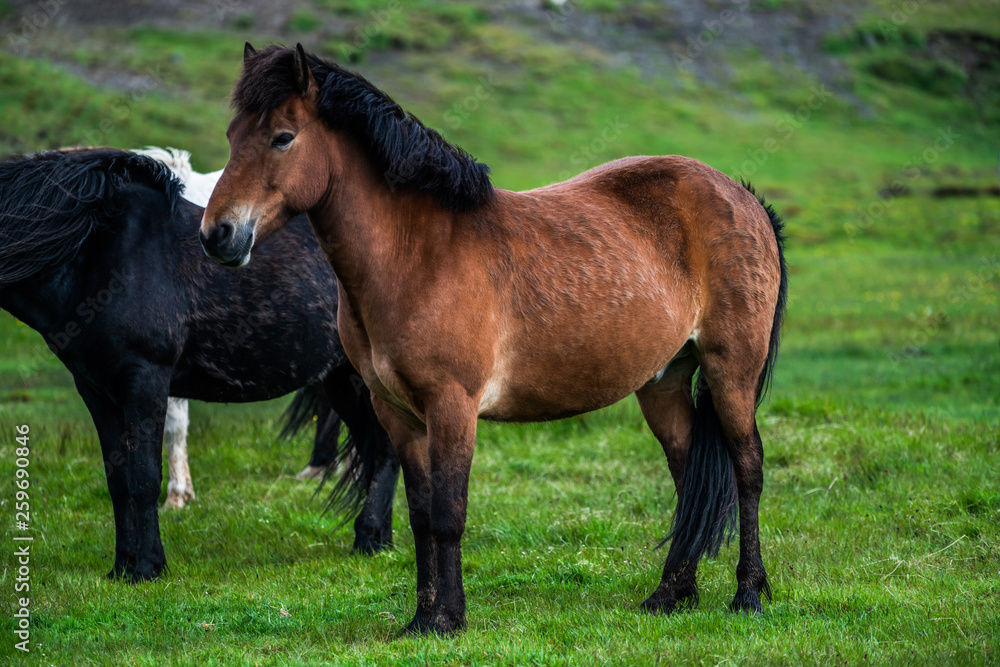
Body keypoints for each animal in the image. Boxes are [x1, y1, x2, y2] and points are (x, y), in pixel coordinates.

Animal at [0, 149, 398, 580]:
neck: (101, 252)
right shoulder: (96, 390)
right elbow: (118, 480)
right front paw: (122, 568)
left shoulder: (146, 379)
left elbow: (144, 476)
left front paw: (148, 567)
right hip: (341, 379)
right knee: (376, 445)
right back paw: (378, 540)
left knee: (386, 447)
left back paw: (370, 537)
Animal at [201, 43, 788, 636]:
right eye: (231, 135)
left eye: (282, 137)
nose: (217, 234)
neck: (418, 256)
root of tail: (744, 198)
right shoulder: (398, 415)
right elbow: (420, 515)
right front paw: (422, 619)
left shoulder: (452, 407)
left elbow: (448, 514)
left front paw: (449, 618)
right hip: (663, 382)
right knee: (688, 475)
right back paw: (671, 594)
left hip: (731, 372)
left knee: (748, 468)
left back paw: (749, 593)